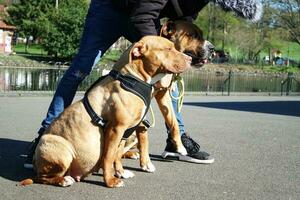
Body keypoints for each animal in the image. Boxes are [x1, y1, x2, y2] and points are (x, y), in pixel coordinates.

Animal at [19, 35, 191, 188]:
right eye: (169, 48)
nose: (190, 59)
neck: (132, 79)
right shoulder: (115, 129)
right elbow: (108, 157)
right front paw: (110, 181)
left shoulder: (124, 133)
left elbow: (116, 155)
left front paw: (121, 172)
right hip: (59, 147)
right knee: (43, 177)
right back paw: (63, 180)